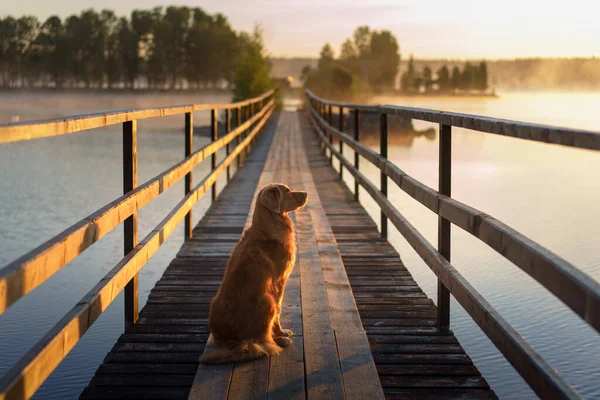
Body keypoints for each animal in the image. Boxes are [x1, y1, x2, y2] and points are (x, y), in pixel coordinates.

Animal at [199, 183, 308, 364]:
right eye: (288, 191)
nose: (306, 193)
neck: (269, 225)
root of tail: (234, 341)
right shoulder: (278, 282)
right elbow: (279, 312)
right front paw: (281, 332)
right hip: (267, 300)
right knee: (263, 340)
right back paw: (280, 340)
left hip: (214, 303)